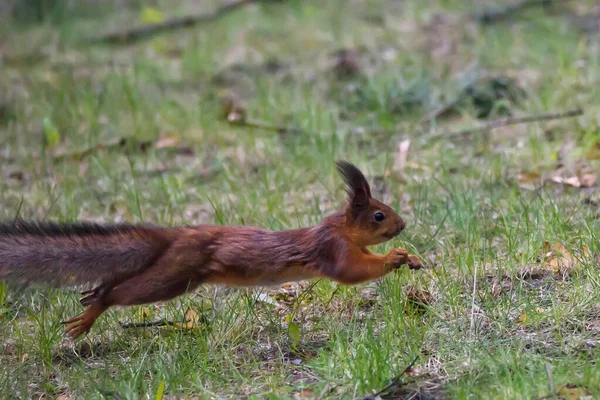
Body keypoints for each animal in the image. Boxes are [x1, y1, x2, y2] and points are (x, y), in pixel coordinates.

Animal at [0, 161, 422, 340]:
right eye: (379, 215)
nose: (402, 226)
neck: (340, 227)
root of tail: (176, 236)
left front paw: (411, 256)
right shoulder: (332, 249)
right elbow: (351, 272)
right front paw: (396, 257)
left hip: (170, 271)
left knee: (117, 280)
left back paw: (92, 296)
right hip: (173, 277)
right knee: (123, 292)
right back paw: (92, 312)